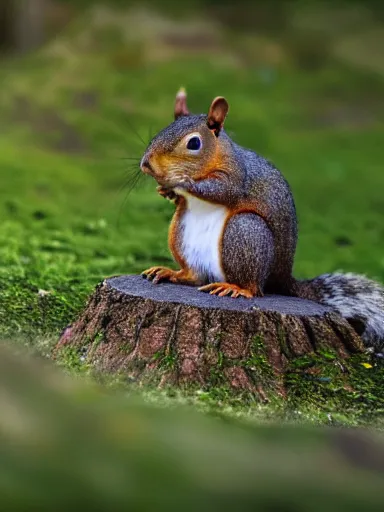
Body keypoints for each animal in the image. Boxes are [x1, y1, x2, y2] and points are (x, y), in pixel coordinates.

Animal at [140, 90, 384, 350]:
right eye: (162, 130)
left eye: (194, 143)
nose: (147, 164)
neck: (218, 154)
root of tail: (283, 278)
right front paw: (166, 191)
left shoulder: (237, 176)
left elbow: (223, 191)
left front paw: (182, 181)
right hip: (180, 233)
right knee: (195, 276)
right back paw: (172, 273)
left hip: (245, 230)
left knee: (255, 288)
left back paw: (236, 288)